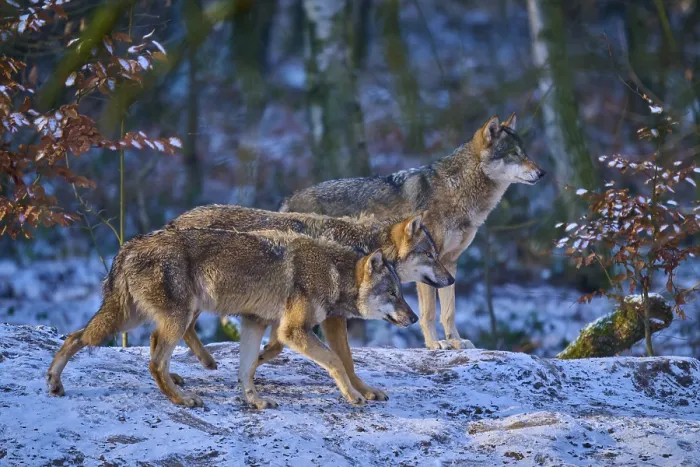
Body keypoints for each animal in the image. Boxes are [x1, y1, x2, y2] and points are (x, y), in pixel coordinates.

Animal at [47, 228, 416, 409]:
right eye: (393, 294)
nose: (413, 318)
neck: (331, 273)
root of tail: (128, 246)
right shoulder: (293, 331)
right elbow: (337, 361)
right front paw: (354, 396)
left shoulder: (255, 322)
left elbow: (247, 368)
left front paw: (253, 401)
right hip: (169, 318)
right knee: (153, 361)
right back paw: (182, 399)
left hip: (132, 319)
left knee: (76, 336)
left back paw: (54, 383)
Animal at [166, 205, 454, 397]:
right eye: (430, 254)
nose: (451, 279)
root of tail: (176, 220)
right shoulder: (332, 318)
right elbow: (346, 359)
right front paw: (362, 390)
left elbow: (277, 345)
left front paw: (257, 361)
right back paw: (190, 367)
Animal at [281, 114, 546, 350]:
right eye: (514, 154)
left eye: (526, 152)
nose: (542, 173)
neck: (458, 192)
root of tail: (288, 199)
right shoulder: (427, 267)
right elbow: (429, 313)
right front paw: (435, 344)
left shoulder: (448, 264)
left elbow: (449, 311)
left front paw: (456, 341)